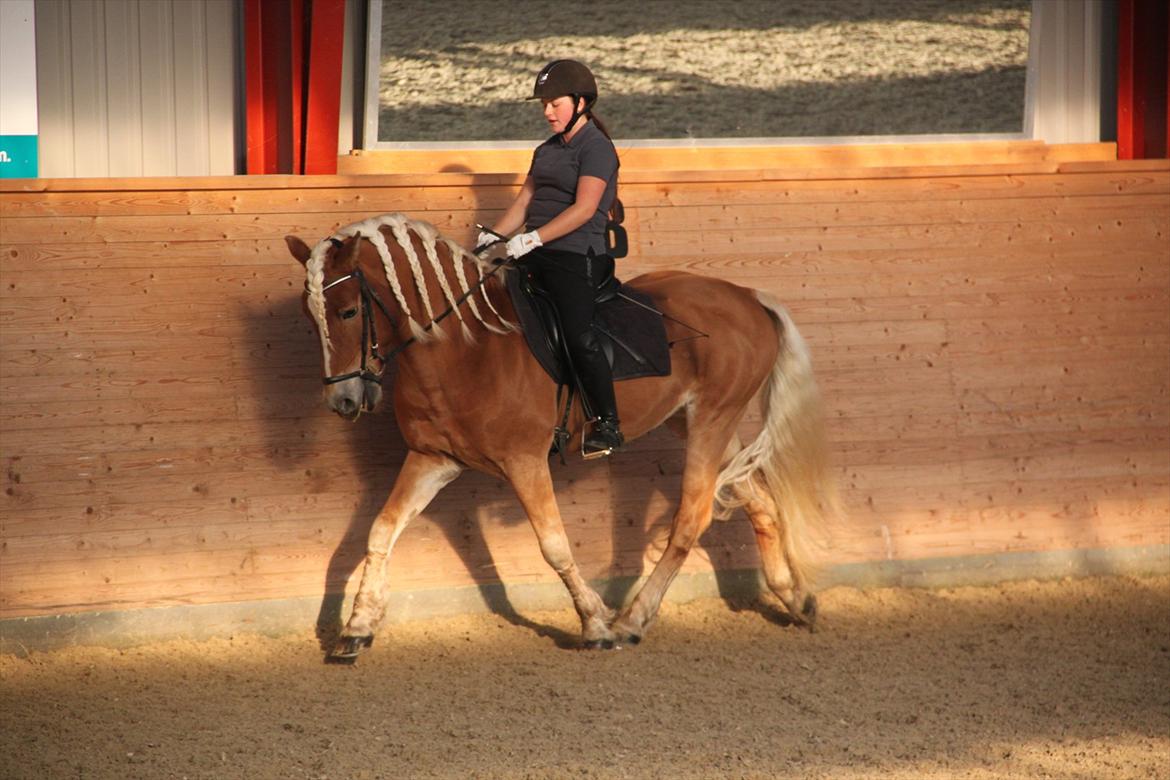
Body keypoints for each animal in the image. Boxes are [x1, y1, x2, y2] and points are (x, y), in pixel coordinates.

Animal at [283, 210, 837, 664]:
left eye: (349, 311)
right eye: (310, 317)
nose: (343, 402)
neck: (464, 349)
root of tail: (747, 297)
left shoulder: (525, 461)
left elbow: (553, 545)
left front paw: (595, 625)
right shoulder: (431, 458)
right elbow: (381, 532)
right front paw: (356, 628)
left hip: (712, 419)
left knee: (691, 518)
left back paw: (633, 620)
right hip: (697, 421)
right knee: (759, 500)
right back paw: (796, 599)